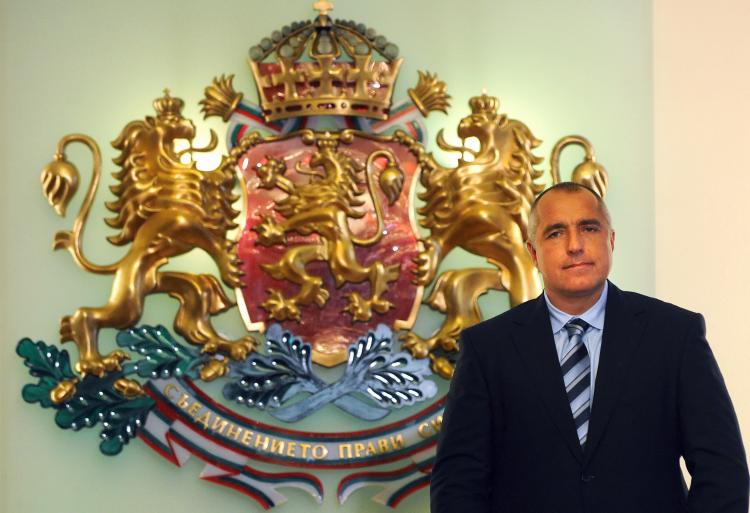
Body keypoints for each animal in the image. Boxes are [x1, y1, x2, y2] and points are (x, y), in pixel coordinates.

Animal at [40, 91, 256, 384]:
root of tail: (120, 266)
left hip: (170, 286)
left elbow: (221, 174)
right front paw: (231, 270)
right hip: (130, 301)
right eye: (174, 120)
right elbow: (214, 243)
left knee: (193, 316)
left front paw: (247, 143)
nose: (191, 125)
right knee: (86, 315)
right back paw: (95, 362)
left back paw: (231, 345)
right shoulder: (188, 225)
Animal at [406, 93, 612, 376]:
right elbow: (439, 219)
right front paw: (412, 146)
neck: (484, 172)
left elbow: (449, 228)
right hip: (463, 284)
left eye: (478, 119)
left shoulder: (478, 219)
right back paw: (427, 346)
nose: (461, 124)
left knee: (460, 319)